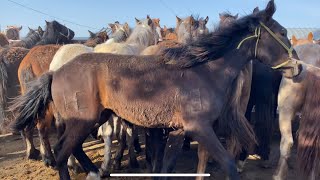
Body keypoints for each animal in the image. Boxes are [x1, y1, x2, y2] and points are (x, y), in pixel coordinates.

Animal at [9, 1, 300, 179]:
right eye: (282, 32)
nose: (298, 67)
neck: (203, 71)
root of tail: (55, 71)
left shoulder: (176, 131)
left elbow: (165, 166)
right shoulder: (200, 129)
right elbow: (228, 165)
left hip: (95, 117)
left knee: (72, 148)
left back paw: (96, 171)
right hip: (83, 120)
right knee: (62, 153)